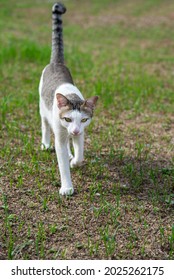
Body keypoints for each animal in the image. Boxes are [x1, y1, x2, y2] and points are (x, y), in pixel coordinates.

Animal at [39, 2, 98, 195]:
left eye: (84, 119)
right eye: (67, 118)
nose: (75, 130)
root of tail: (56, 63)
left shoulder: (81, 133)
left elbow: (80, 154)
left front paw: (75, 161)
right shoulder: (60, 132)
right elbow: (62, 163)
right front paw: (67, 187)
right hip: (43, 110)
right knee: (45, 126)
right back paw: (45, 144)